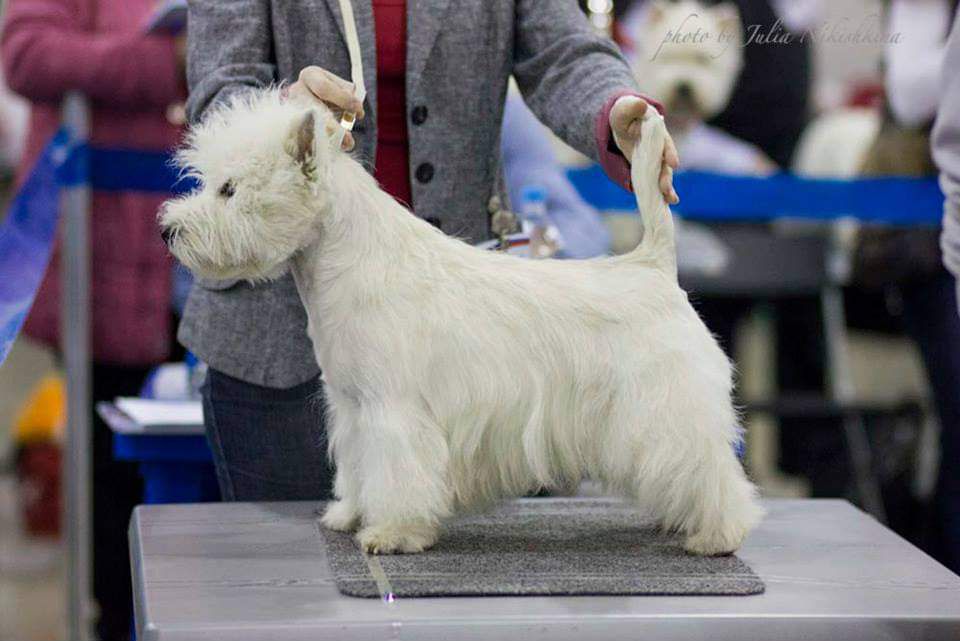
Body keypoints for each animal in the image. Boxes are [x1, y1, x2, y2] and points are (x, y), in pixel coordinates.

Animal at [161, 90, 760, 556]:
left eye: (230, 190)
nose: (169, 230)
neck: (348, 259)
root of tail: (653, 263)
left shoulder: (394, 408)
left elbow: (398, 473)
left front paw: (392, 533)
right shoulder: (353, 408)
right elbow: (358, 468)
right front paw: (349, 514)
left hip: (665, 405)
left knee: (709, 467)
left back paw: (717, 535)